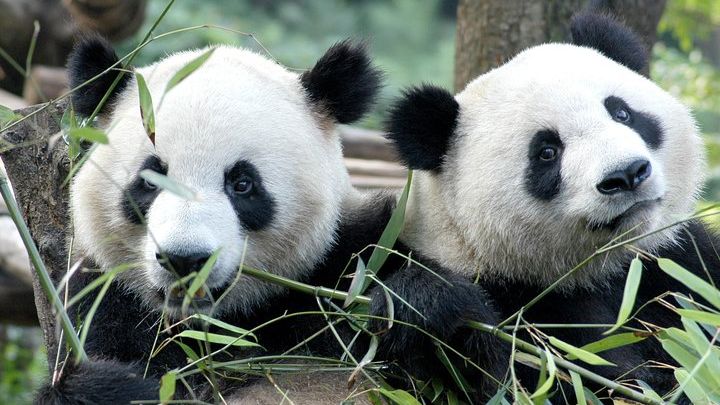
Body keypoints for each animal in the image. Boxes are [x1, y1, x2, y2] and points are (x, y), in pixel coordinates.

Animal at [38, 36, 402, 404]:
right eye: (150, 181)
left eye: (242, 184)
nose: (185, 260)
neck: (217, 328)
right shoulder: (104, 303)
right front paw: (116, 386)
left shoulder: (346, 259)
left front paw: (399, 307)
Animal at [377, 12, 720, 401]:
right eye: (546, 152)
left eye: (622, 113)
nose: (626, 174)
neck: (598, 270)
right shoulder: (523, 306)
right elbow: (536, 380)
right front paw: (431, 304)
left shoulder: (676, 265)